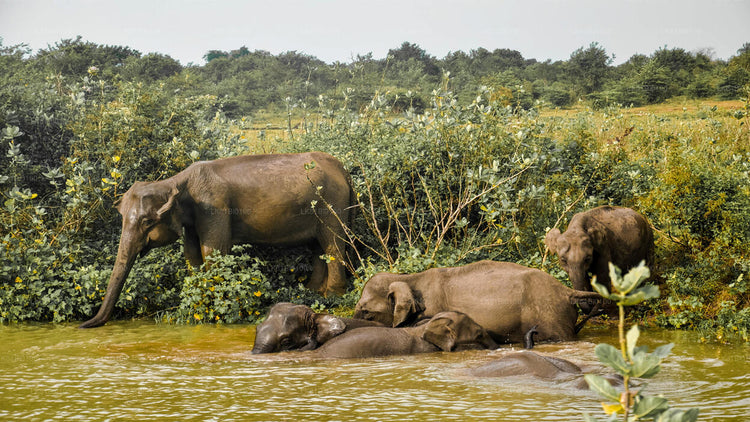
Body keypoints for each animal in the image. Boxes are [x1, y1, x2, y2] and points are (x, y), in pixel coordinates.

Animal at [79, 152, 356, 330]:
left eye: (147, 222)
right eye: (123, 217)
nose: (83, 325)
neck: (175, 182)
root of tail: (343, 169)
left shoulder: (214, 207)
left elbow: (214, 252)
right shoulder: (193, 218)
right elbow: (192, 255)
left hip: (332, 204)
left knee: (333, 244)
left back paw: (333, 296)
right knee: (317, 246)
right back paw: (313, 292)